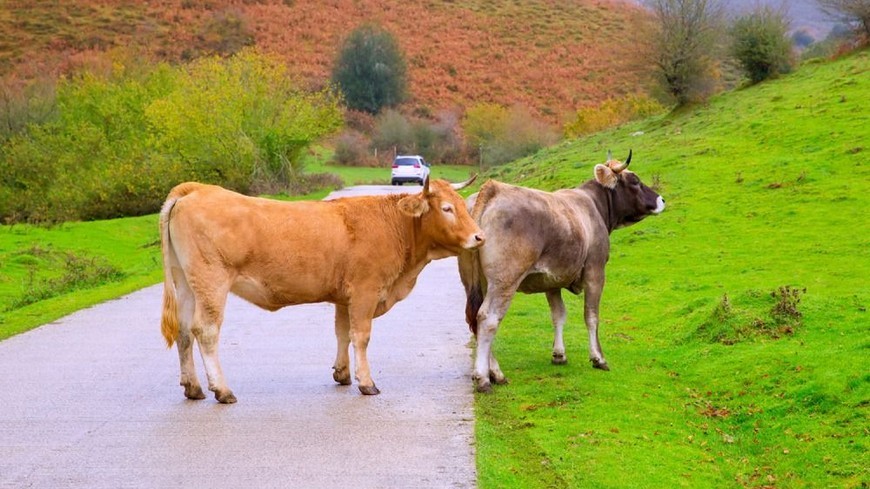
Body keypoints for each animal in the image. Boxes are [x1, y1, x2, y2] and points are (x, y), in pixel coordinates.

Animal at [162, 177, 484, 402]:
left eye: (462, 205)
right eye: (446, 208)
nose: (479, 236)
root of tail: (196, 189)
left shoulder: (345, 296)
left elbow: (342, 332)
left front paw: (343, 374)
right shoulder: (365, 291)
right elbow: (361, 336)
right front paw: (366, 382)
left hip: (186, 283)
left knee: (184, 331)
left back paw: (193, 387)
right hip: (211, 282)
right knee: (206, 331)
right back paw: (222, 389)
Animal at [456, 150, 668, 392]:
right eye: (635, 181)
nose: (661, 200)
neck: (592, 205)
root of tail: (493, 189)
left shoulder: (552, 279)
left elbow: (558, 314)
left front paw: (559, 354)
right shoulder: (595, 272)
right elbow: (591, 316)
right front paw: (598, 358)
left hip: (476, 281)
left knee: (476, 319)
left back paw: (494, 372)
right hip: (504, 280)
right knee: (488, 318)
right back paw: (484, 378)